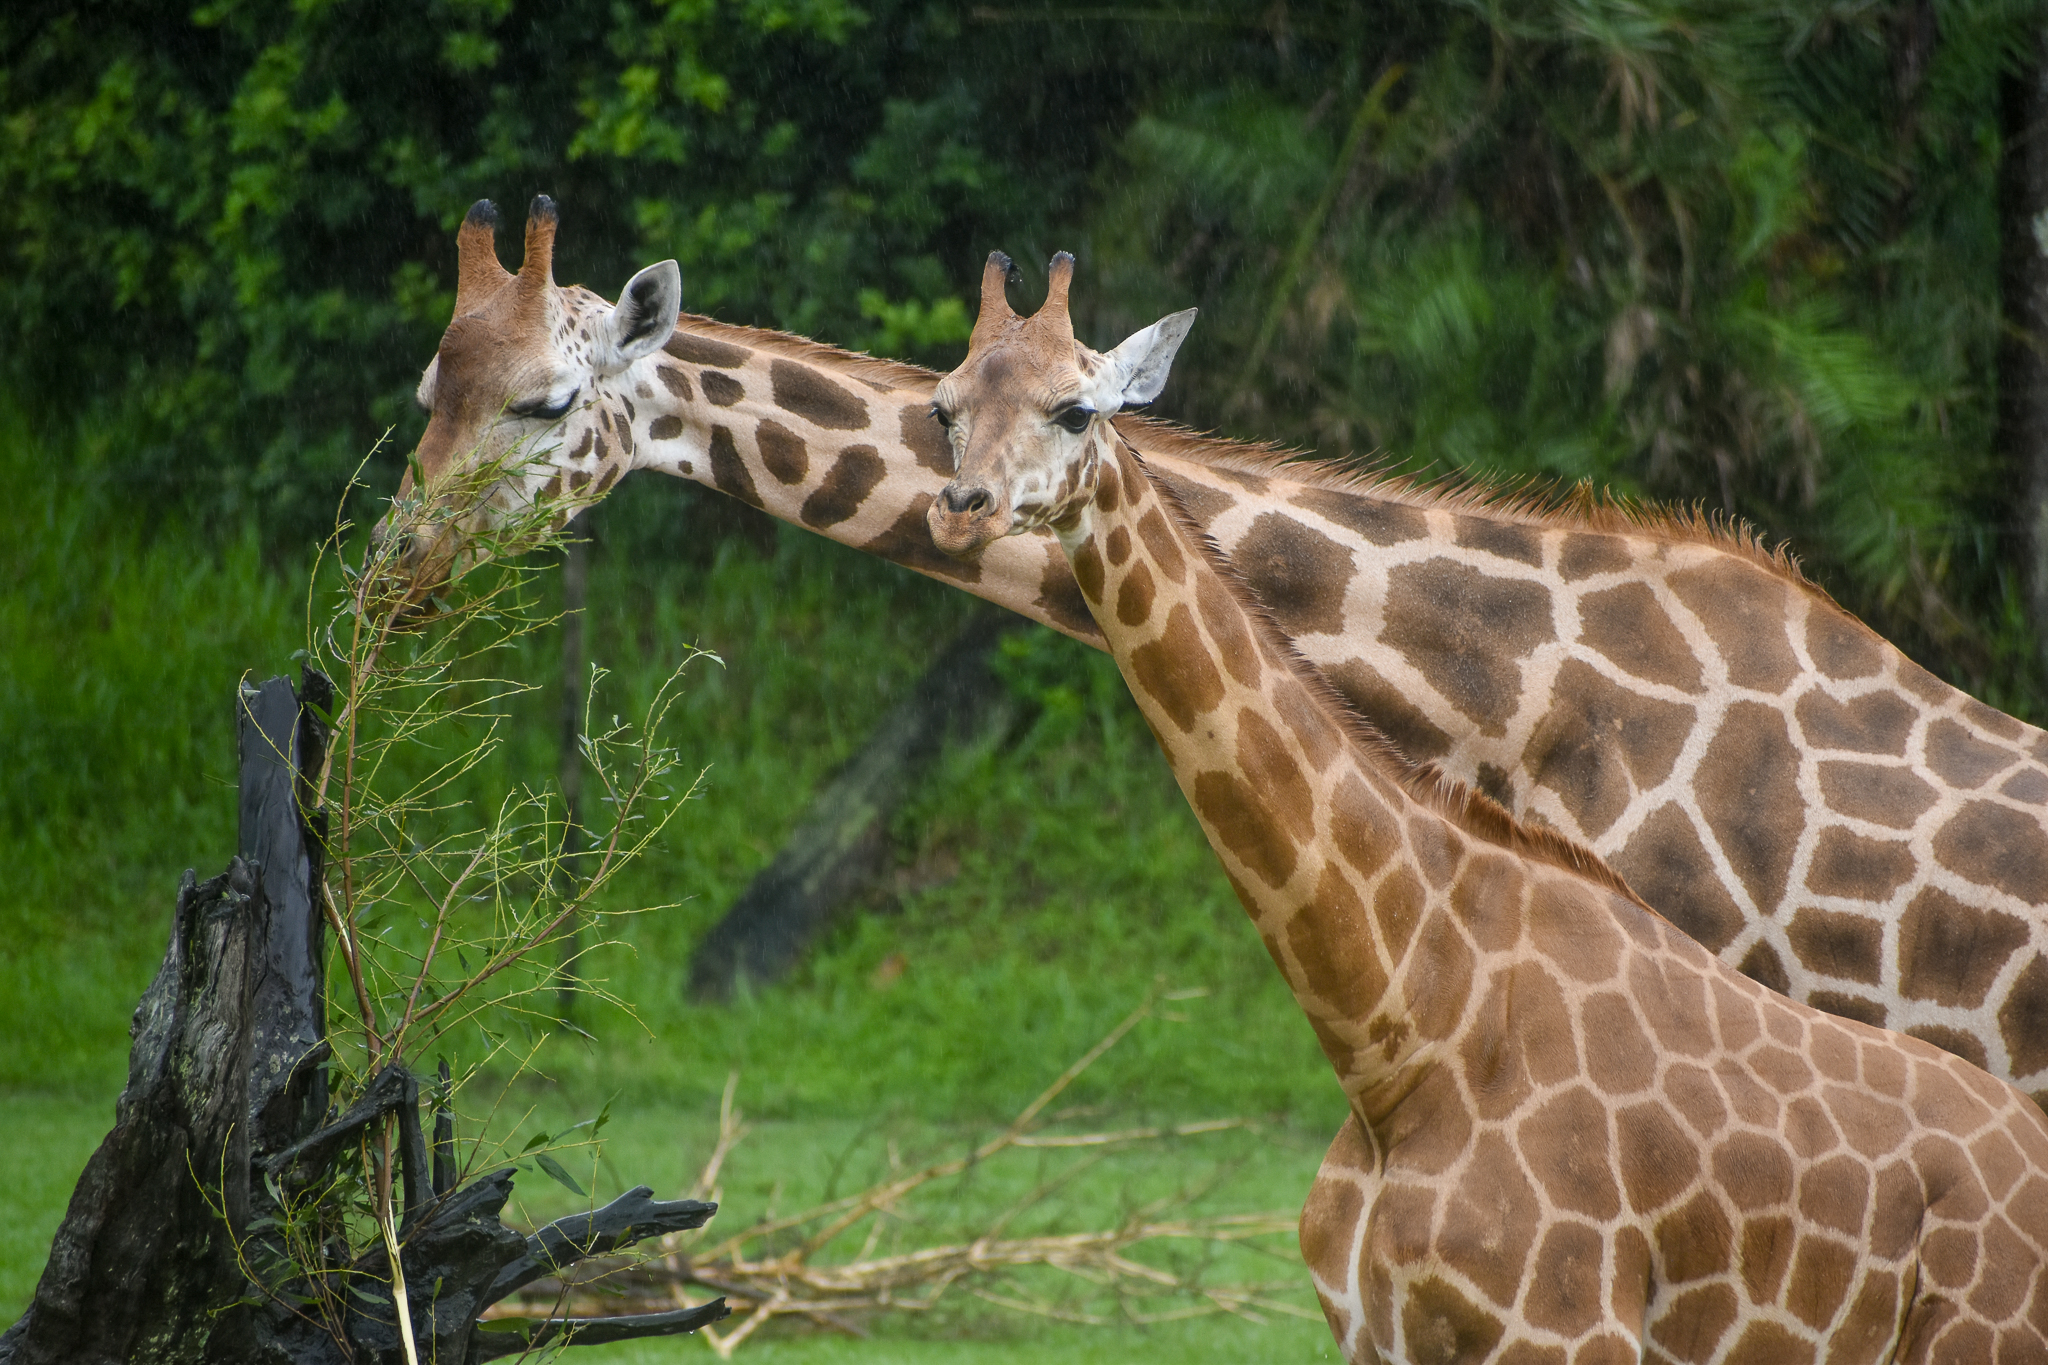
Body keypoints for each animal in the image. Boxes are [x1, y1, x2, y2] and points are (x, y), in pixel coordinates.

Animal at [925, 249, 2048, 1364]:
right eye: (945, 404)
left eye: (1077, 409)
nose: (959, 507)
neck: (1405, 1029)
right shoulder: (1374, 1336)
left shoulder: (1567, 1329)